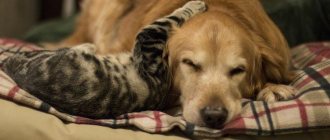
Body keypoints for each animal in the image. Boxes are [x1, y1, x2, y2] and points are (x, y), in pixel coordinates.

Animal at [1, 0, 206, 118]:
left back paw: (88, 47)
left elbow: (170, 18)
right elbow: (171, 17)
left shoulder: (148, 39)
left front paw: (196, 5)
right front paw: (197, 5)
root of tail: (11, 64)